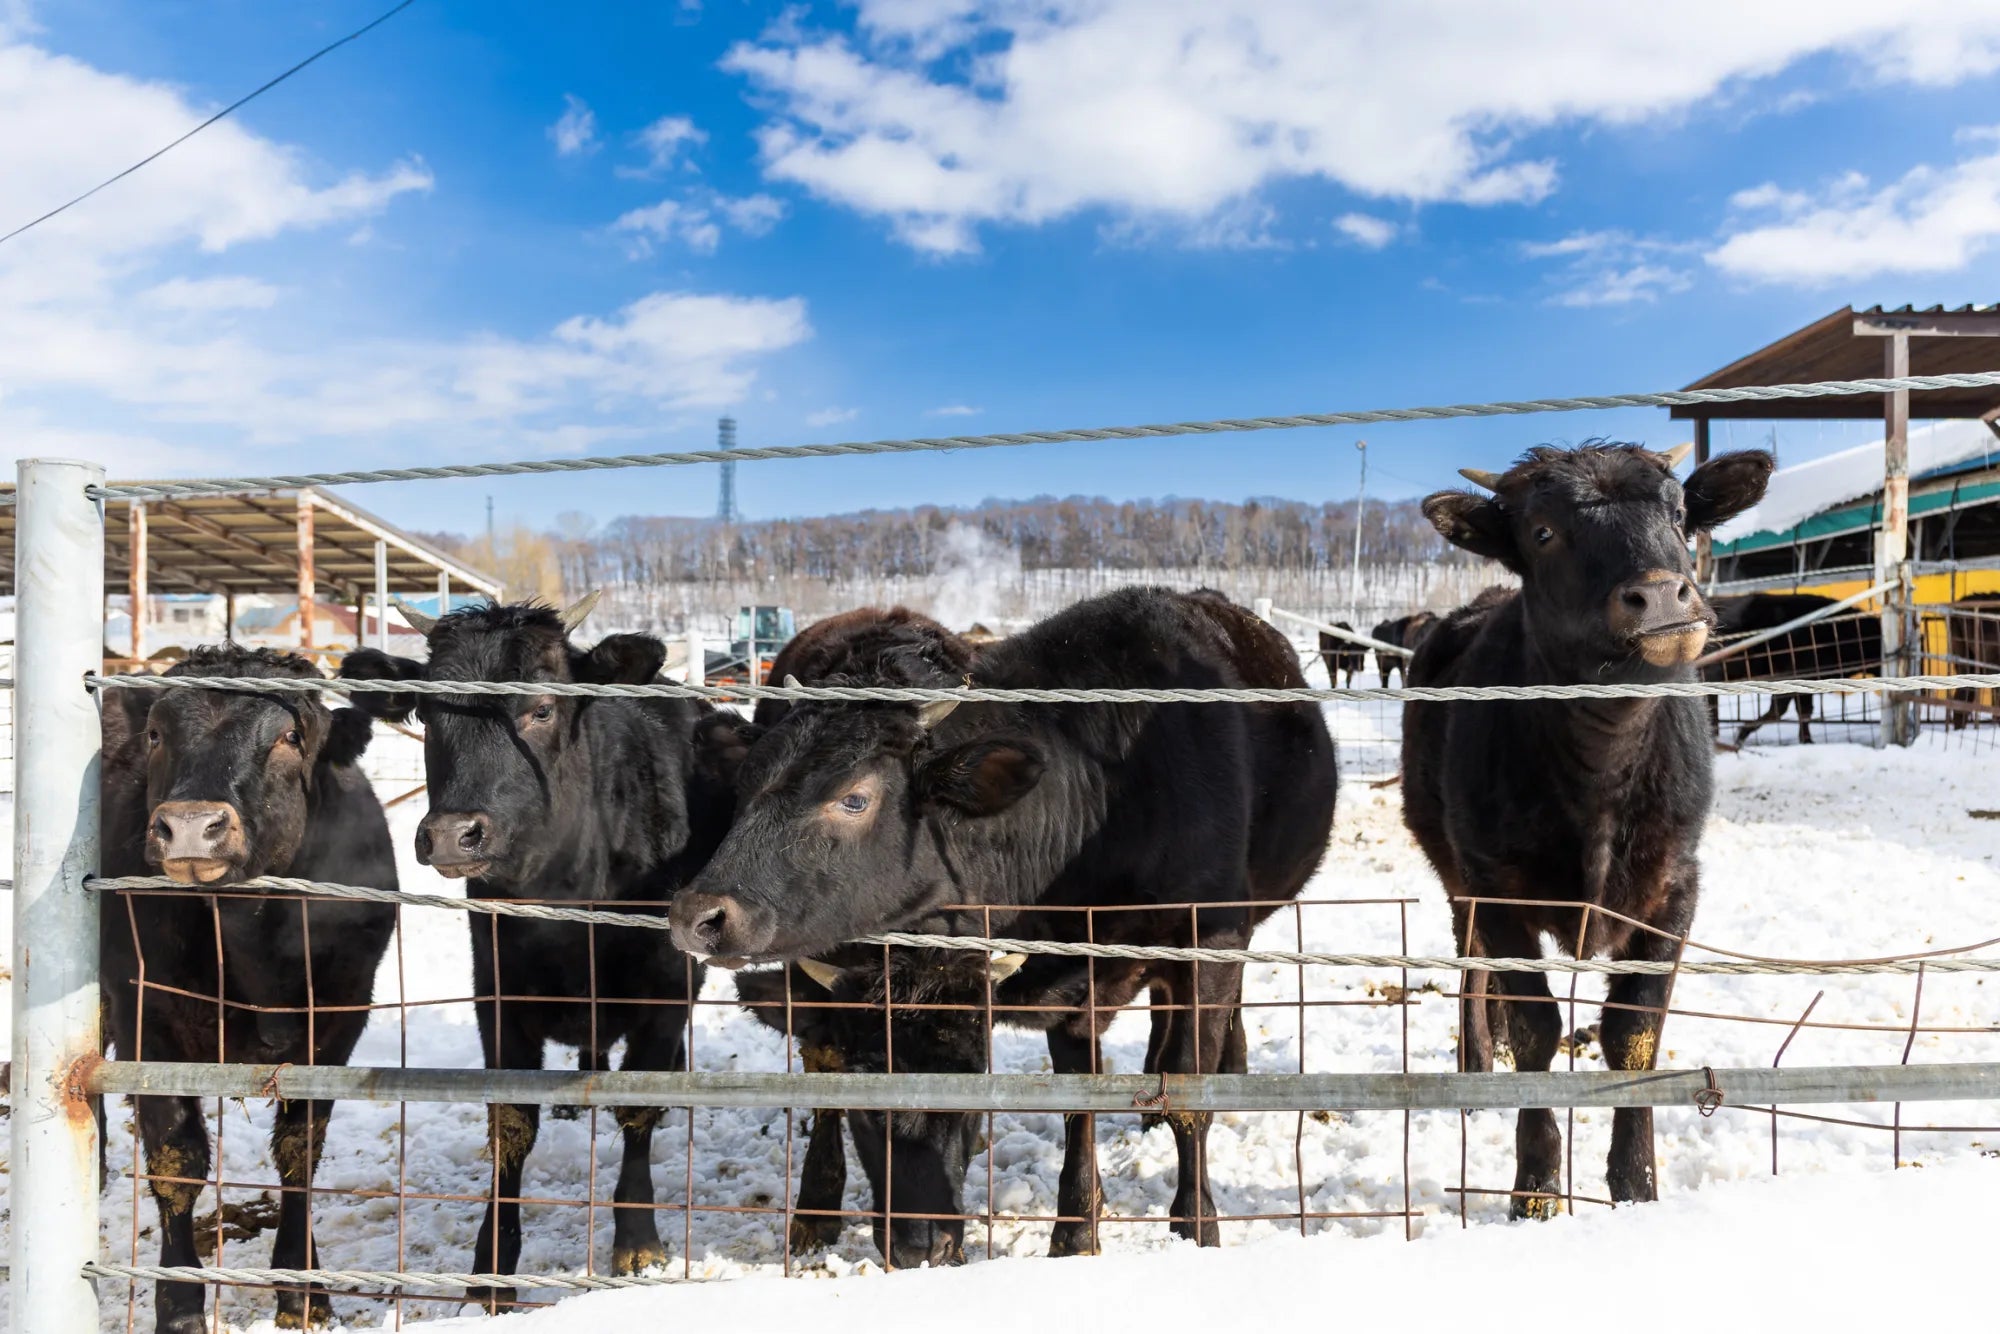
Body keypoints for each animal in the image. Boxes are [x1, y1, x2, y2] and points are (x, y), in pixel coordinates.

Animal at [99, 646, 397, 1334]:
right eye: (157, 734)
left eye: (290, 737)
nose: (189, 827)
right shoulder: (142, 1014)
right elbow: (176, 1159)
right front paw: (179, 1306)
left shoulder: (340, 1016)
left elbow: (300, 1151)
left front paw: (303, 1291)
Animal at [338, 595, 732, 1306]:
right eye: (429, 713)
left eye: (542, 708)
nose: (453, 834)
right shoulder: (495, 994)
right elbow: (511, 1121)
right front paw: (493, 1259)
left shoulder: (664, 991)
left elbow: (637, 1108)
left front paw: (637, 1243)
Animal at [671, 586, 1338, 1254]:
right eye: (743, 789)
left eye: (854, 797)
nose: (698, 914)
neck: (1109, 793)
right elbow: (1077, 1095)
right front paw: (1076, 1233)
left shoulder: (1210, 936)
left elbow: (1191, 1090)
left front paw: (1196, 1223)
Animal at [1402, 441, 1771, 1219]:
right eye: (1543, 532)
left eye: (1681, 513)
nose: (1661, 597)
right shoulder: (1495, 885)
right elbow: (1538, 1028)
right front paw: (1536, 1187)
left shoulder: (1675, 887)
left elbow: (1634, 1033)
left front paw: (1636, 1181)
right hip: (1454, 870)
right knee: (1473, 963)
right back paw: (1476, 1063)